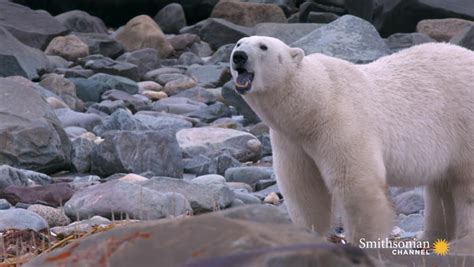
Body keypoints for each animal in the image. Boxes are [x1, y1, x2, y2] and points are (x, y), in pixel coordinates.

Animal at [230, 35, 474, 251]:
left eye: (263, 46)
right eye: (239, 43)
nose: (239, 56)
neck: (313, 106)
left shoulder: (340, 121)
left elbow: (355, 183)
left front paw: (363, 243)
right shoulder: (291, 140)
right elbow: (304, 187)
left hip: (463, 124)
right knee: (441, 188)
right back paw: (429, 239)